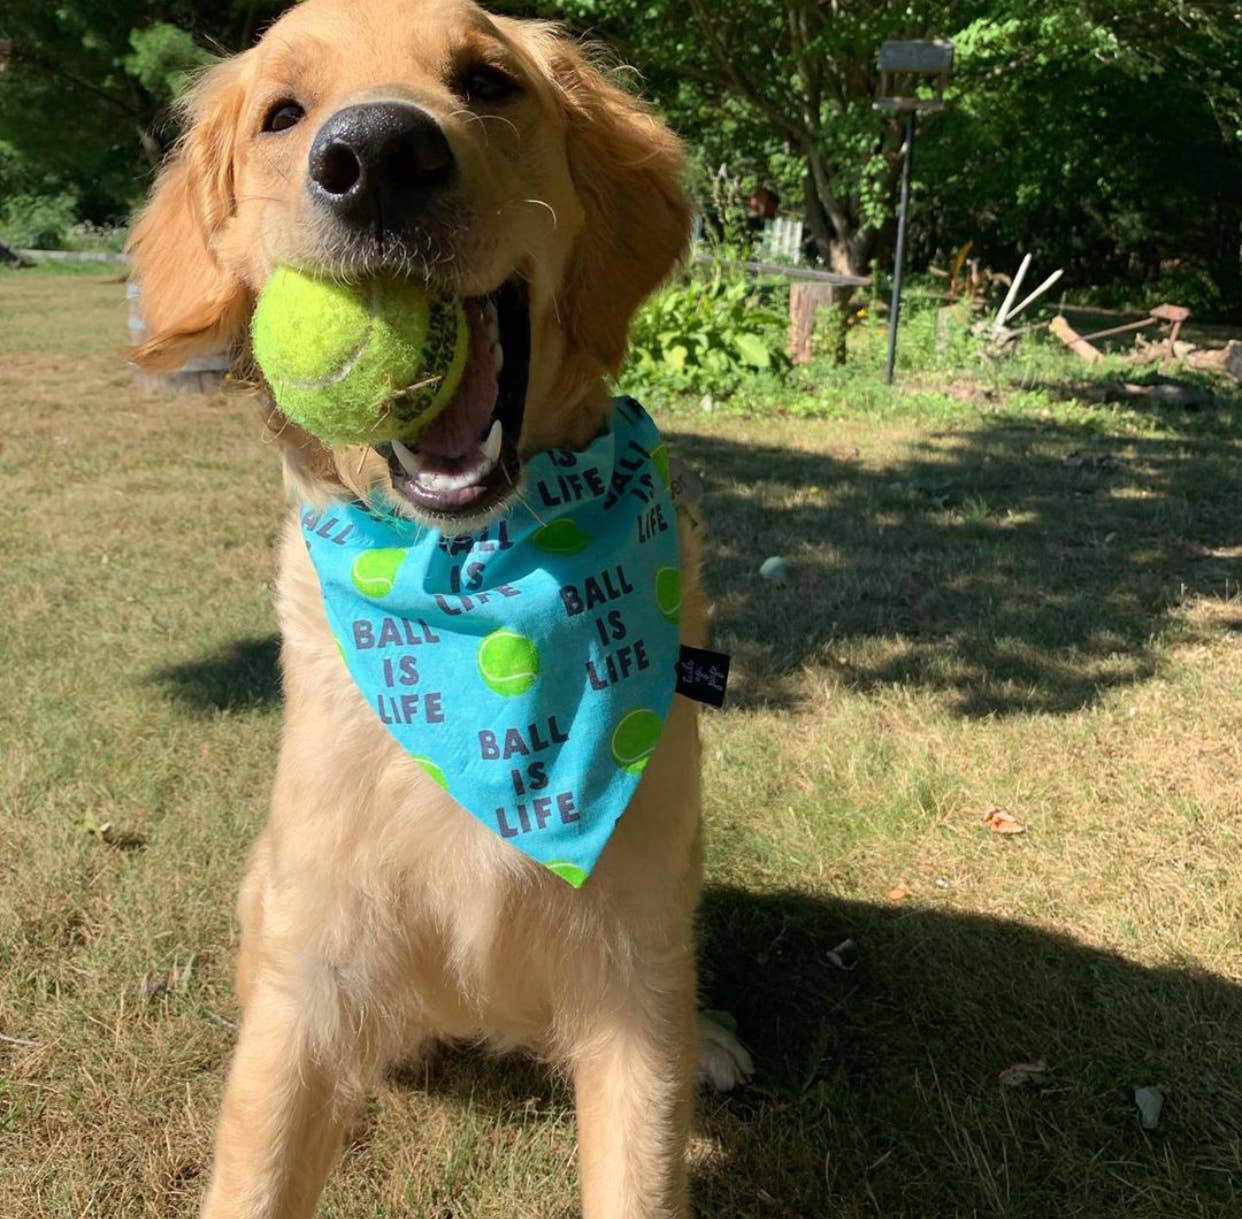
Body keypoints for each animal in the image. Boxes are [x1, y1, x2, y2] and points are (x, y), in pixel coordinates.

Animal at [128, 4, 745, 1212]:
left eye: (488, 80)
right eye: (283, 113)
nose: (376, 157)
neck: (479, 585)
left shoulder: (631, 981)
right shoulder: (309, 985)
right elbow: (257, 1162)